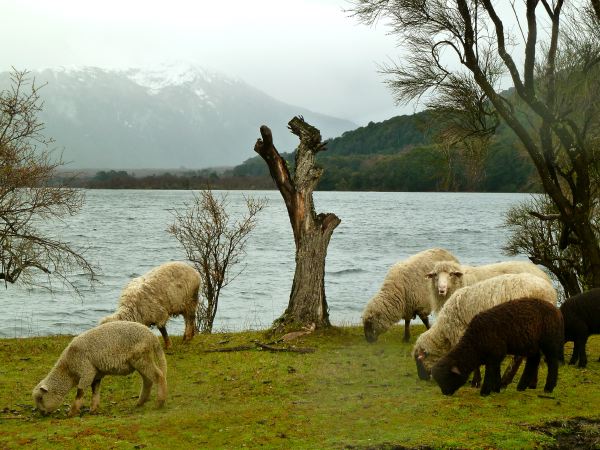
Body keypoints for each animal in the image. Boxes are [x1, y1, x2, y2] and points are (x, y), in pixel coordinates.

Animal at [34, 322, 168, 416]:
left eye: (40, 398)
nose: (42, 414)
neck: (68, 370)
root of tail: (152, 336)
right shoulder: (96, 373)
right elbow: (95, 390)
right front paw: (93, 409)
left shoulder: (86, 370)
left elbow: (80, 392)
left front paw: (72, 412)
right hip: (141, 361)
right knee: (148, 380)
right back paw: (140, 403)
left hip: (142, 358)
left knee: (158, 376)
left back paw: (159, 402)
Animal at [412, 272, 556, 378]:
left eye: (419, 361)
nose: (423, 378)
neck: (444, 332)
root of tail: (547, 292)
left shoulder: (462, 333)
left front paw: (475, 381)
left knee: (519, 357)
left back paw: (506, 380)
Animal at [432, 298, 564, 398]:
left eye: (448, 378)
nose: (445, 393)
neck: (475, 343)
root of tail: (556, 310)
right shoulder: (496, 355)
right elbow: (496, 370)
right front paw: (496, 389)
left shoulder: (495, 353)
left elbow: (491, 371)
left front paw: (485, 392)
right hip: (532, 343)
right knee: (533, 360)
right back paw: (521, 387)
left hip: (549, 341)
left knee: (552, 362)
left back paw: (549, 387)